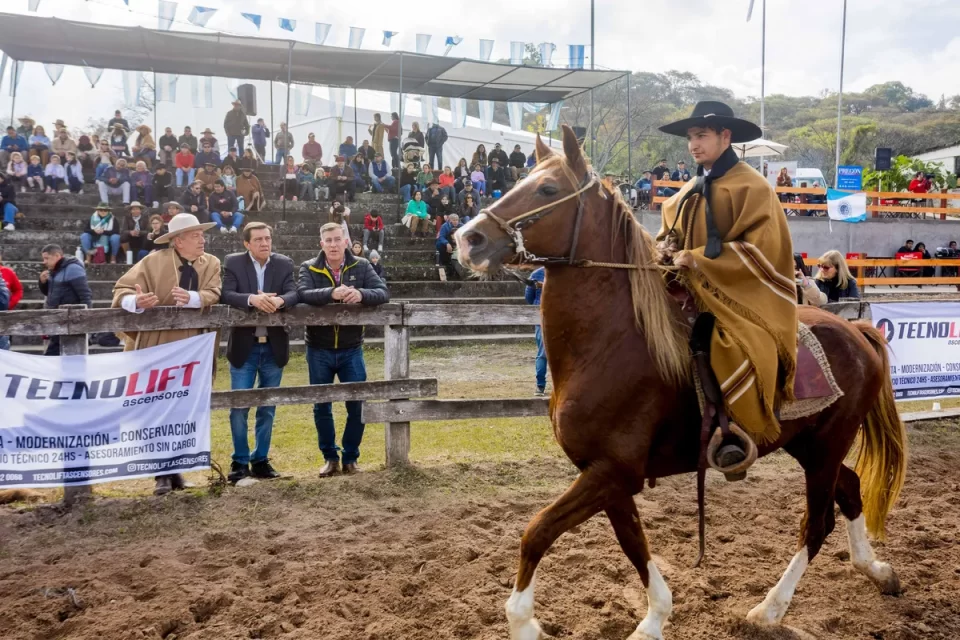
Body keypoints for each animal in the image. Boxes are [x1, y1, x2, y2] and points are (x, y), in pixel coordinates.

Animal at [454, 124, 907, 640]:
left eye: (548, 189)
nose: (467, 239)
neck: (611, 343)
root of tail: (856, 331)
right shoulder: (606, 474)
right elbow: (632, 544)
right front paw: (654, 616)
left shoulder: (611, 471)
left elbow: (537, 531)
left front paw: (524, 621)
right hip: (808, 444)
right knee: (849, 489)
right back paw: (876, 570)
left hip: (827, 445)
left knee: (818, 522)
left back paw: (770, 609)